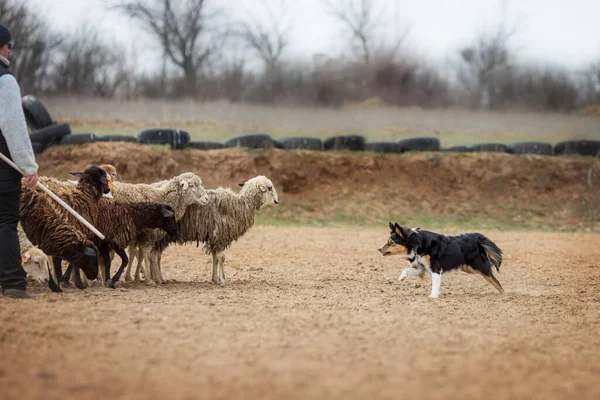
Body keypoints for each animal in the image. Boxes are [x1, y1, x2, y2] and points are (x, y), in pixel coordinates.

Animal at [19, 164, 112, 292]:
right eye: (104, 174)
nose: (108, 189)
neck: (85, 197)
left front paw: (62, 281)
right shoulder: (75, 232)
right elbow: (73, 262)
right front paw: (70, 282)